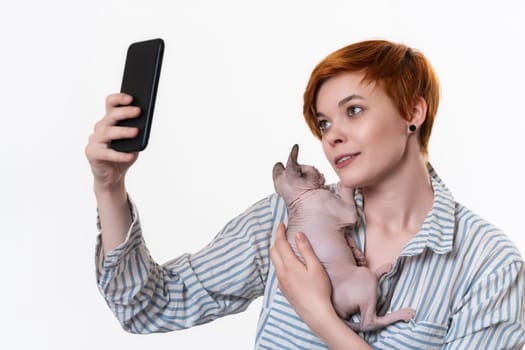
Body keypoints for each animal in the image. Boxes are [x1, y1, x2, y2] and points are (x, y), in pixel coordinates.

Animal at [272, 144, 416, 332]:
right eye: (315, 170)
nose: (322, 174)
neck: (297, 199)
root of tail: (337, 313)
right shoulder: (346, 213)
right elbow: (349, 209)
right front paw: (345, 186)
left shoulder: (341, 227)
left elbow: (347, 237)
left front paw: (357, 253)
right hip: (362, 279)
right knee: (368, 322)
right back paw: (402, 313)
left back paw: (382, 268)